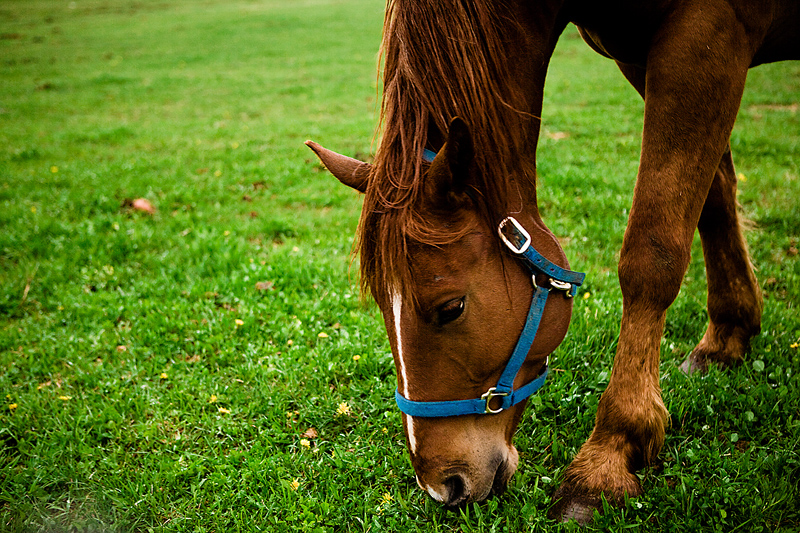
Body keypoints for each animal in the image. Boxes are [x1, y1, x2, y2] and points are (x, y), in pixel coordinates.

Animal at [304, 0, 796, 524]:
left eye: (451, 308)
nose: (442, 487)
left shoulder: (706, 40)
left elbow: (653, 251)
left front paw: (608, 457)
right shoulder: (642, 58)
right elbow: (714, 196)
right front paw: (727, 335)